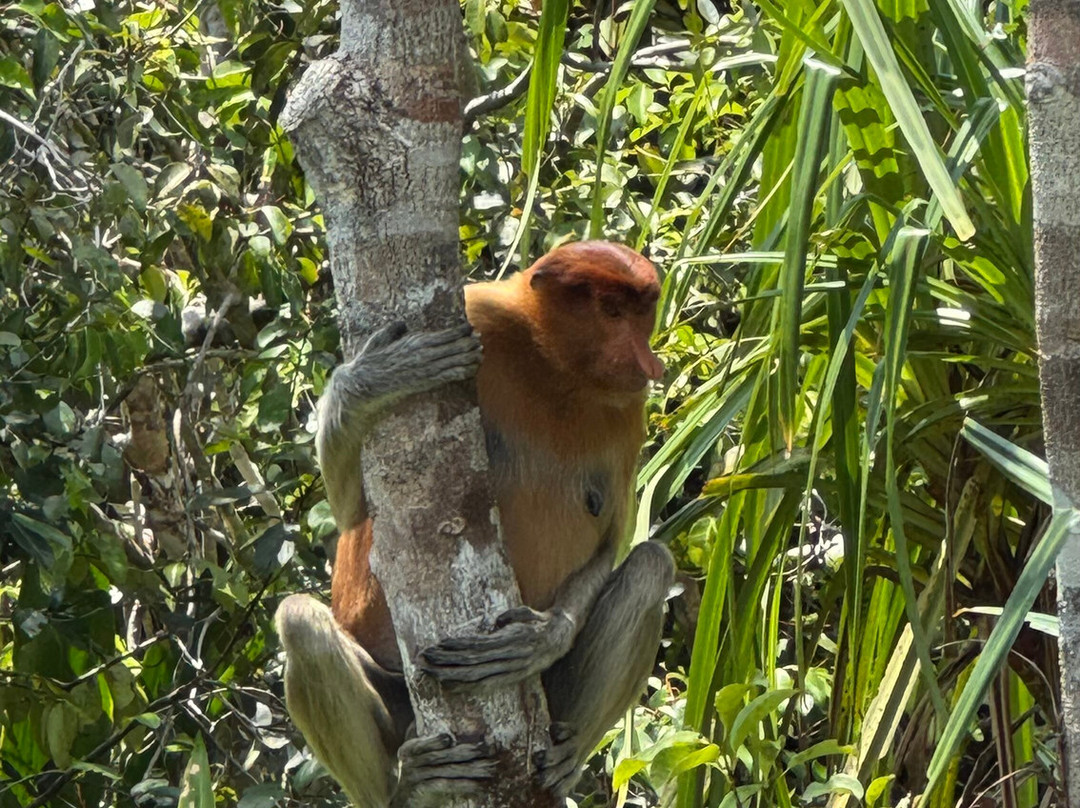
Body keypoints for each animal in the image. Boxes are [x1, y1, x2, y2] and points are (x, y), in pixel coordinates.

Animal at [275, 240, 675, 808]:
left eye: (643, 313)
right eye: (612, 312)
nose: (649, 361)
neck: (553, 364)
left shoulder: (629, 404)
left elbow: (613, 541)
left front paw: (542, 637)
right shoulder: (477, 313)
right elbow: (352, 512)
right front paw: (377, 378)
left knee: (651, 567)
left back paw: (566, 758)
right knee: (300, 622)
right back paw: (408, 789)